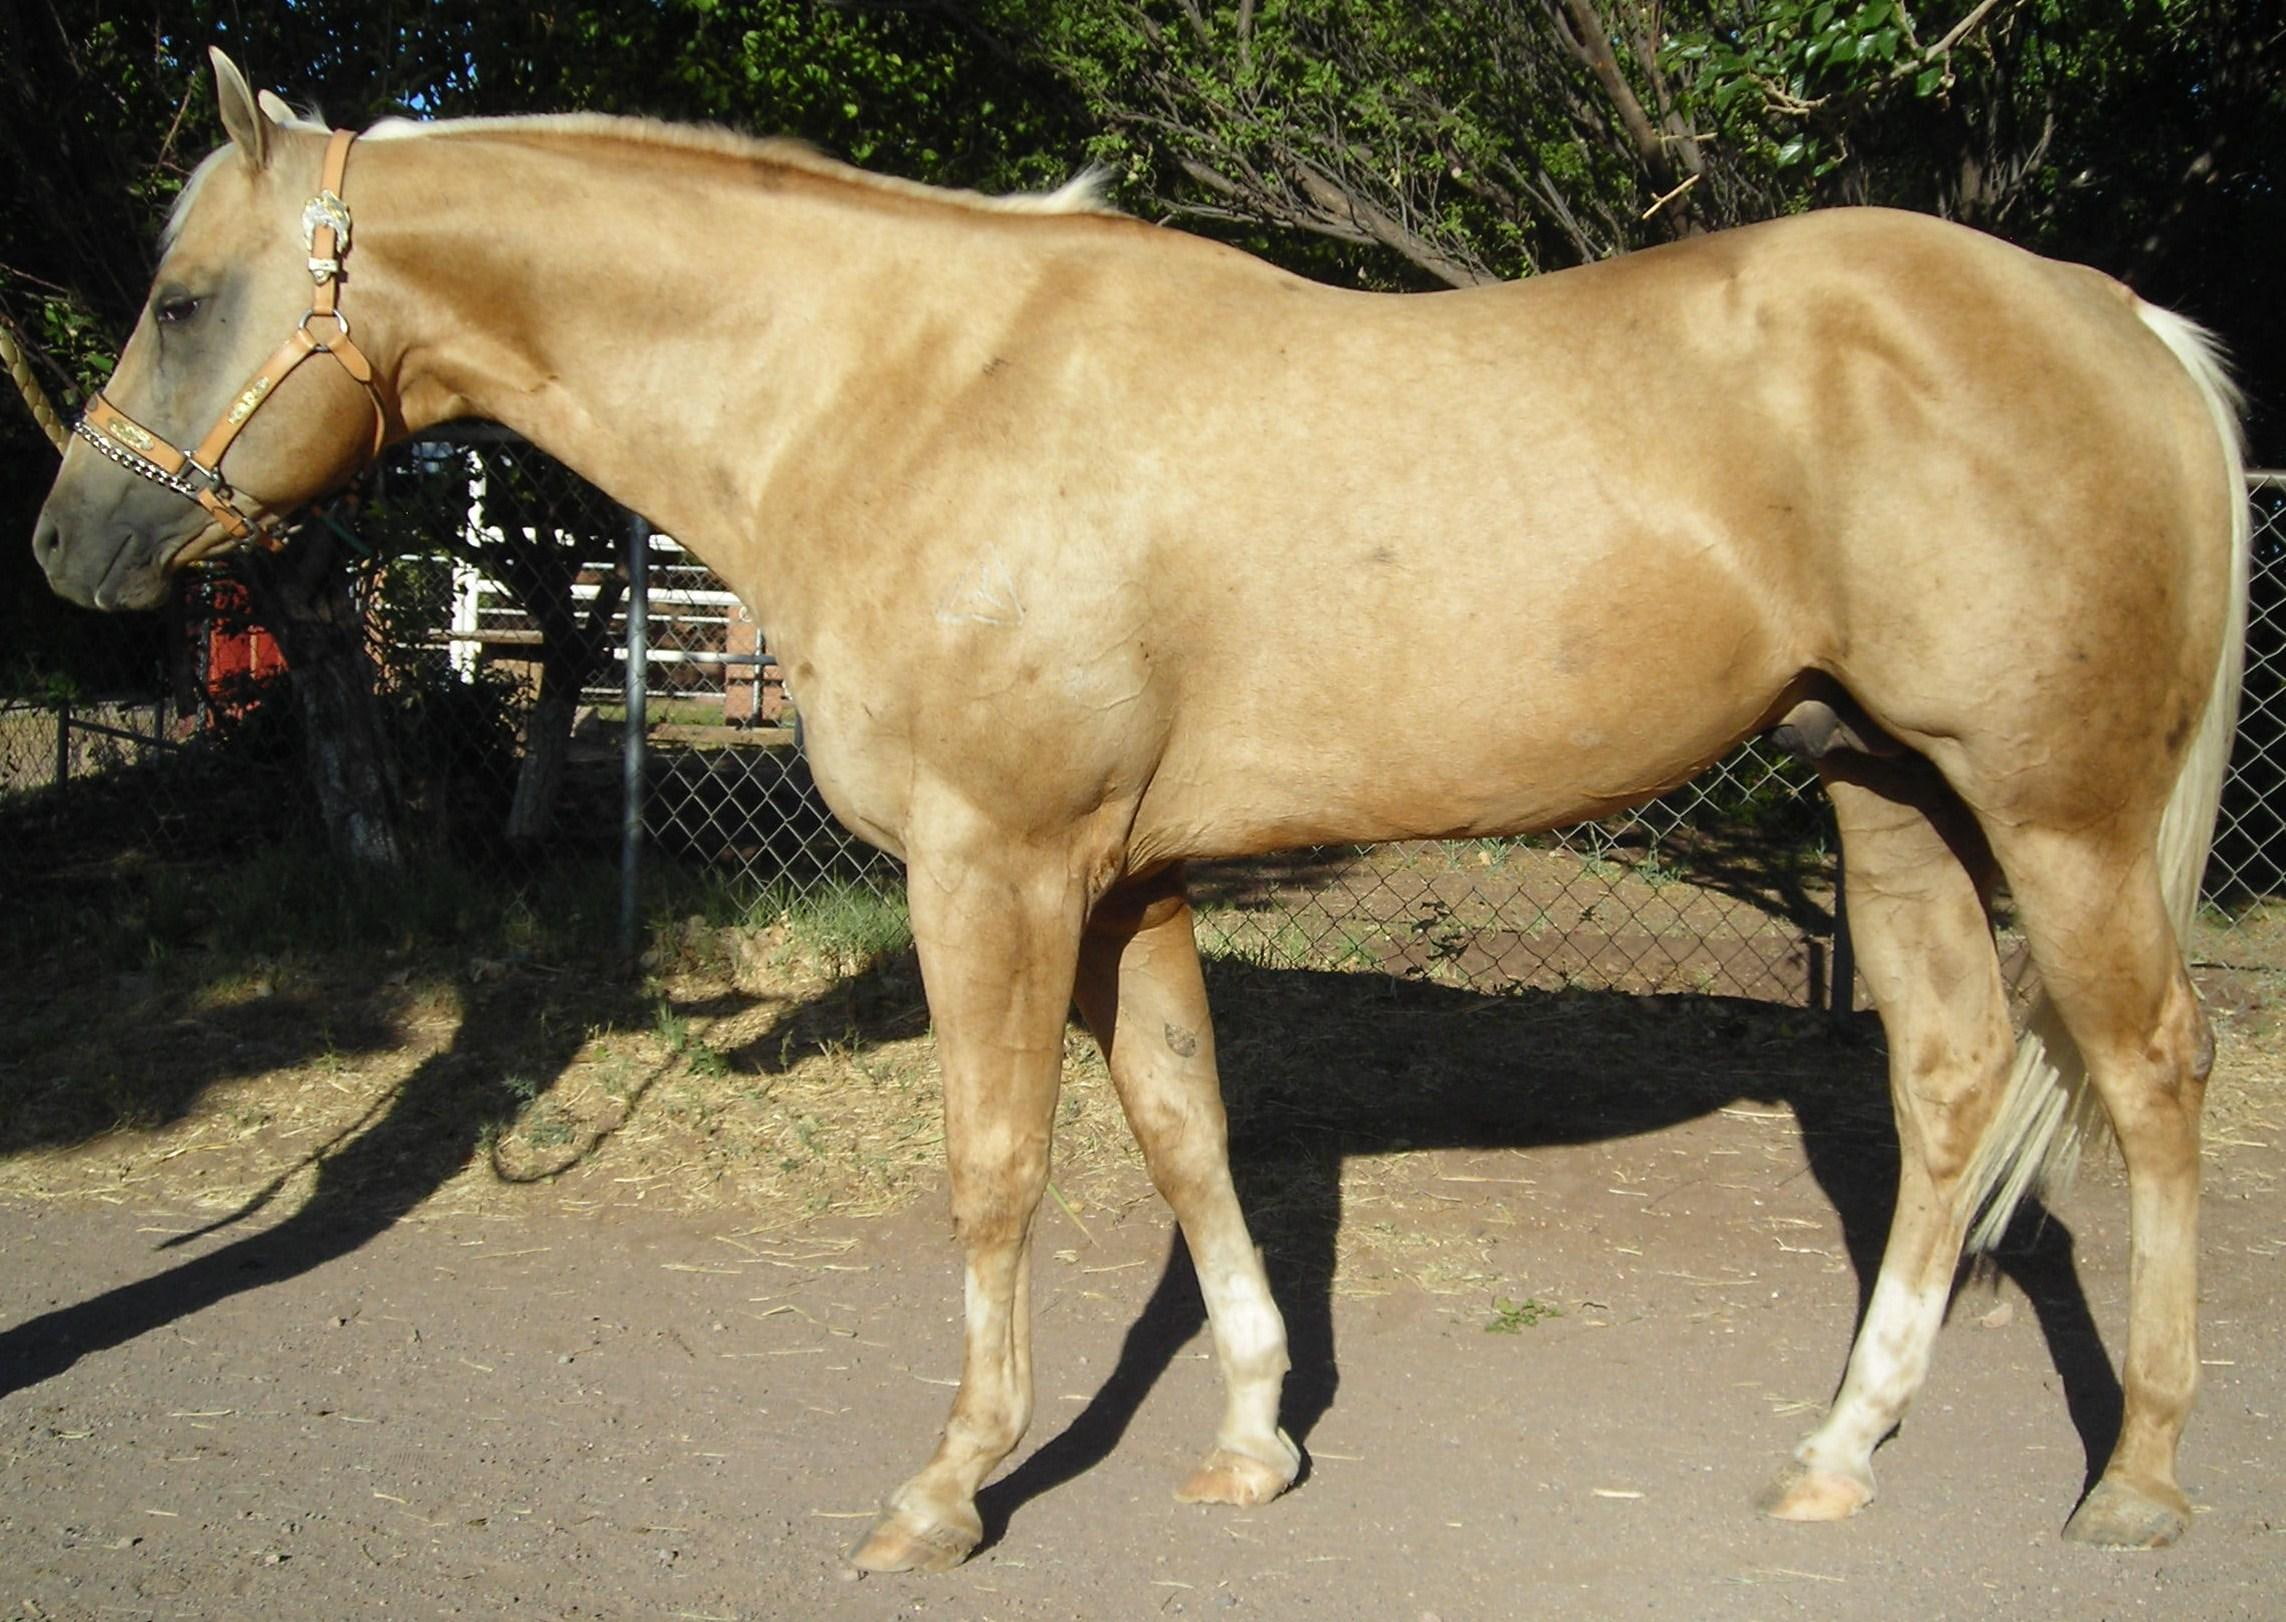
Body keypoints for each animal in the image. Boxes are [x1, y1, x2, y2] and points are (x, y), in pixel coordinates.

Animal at [35, 51, 2248, 1570]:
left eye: (179, 296)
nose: (72, 541)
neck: (908, 390)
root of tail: (2109, 313)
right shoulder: (1129, 882)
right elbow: (1188, 1133)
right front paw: (1254, 1434)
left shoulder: (996, 866)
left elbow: (996, 1168)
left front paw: (947, 1485)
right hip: (1890, 792)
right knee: (1952, 1077)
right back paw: (1837, 1445)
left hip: (2053, 815)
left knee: (2149, 1073)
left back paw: (2141, 1477)